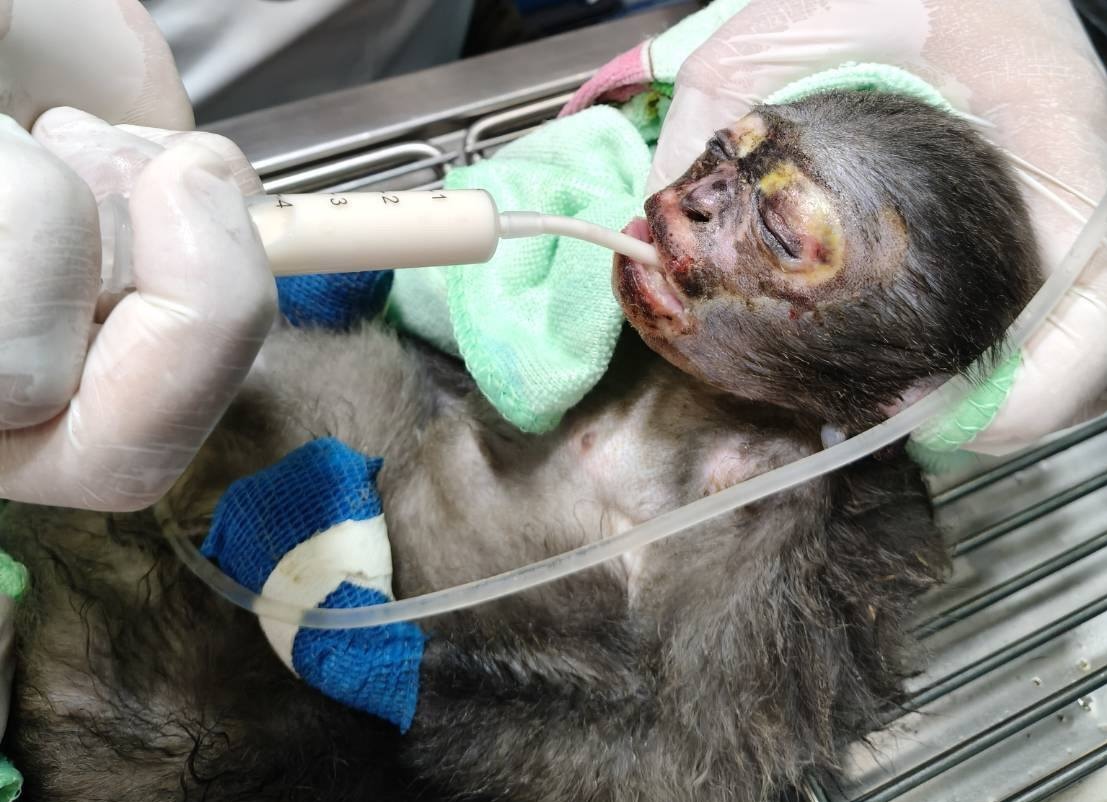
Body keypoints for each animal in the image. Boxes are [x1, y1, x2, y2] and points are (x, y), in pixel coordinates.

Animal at [0, 91, 1040, 802]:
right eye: (721, 153)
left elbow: (668, 762)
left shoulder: (776, 556)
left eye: (782, 233)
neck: (698, 409)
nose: (696, 201)